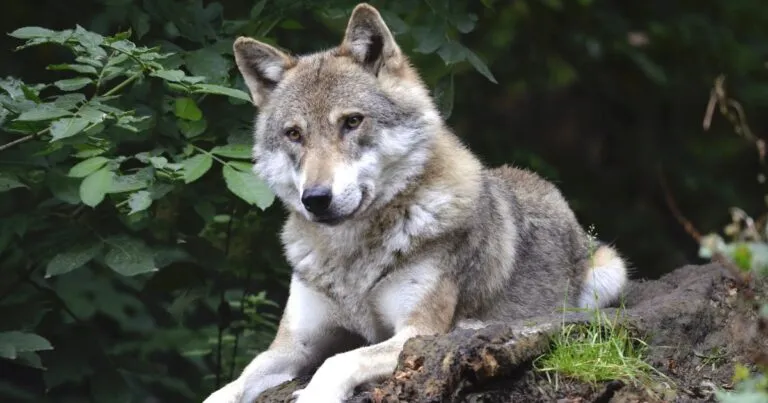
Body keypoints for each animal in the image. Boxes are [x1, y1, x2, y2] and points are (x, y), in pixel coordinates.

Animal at [203, 3, 628, 403]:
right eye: (294, 134)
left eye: (352, 122)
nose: (316, 199)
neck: (351, 257)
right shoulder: (293, 346)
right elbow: (230, 385)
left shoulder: (416, 332)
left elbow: (337, 361)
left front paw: (314, 393)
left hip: (608, 275)